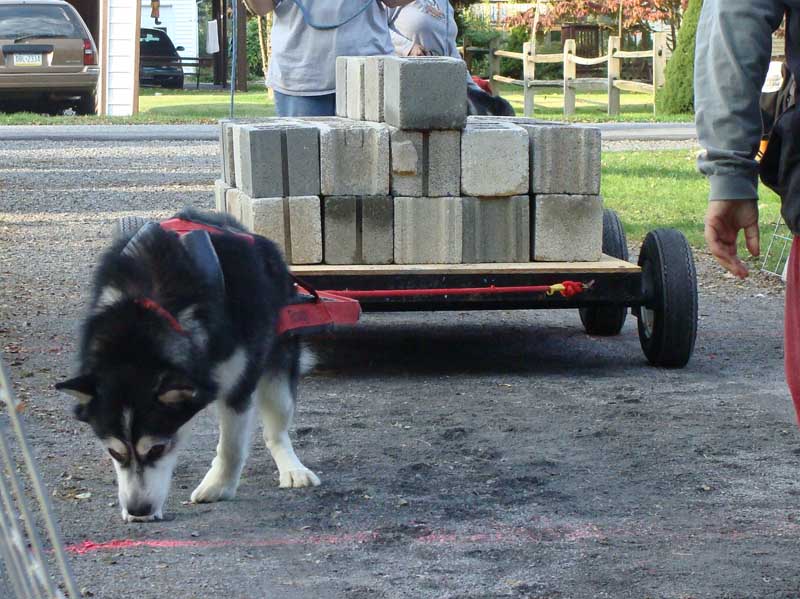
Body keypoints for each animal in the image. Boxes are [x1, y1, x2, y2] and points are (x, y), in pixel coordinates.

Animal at [54, 209, 318, 524]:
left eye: (157, 448)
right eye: (114, 453)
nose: (138, 509)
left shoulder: (238, 386)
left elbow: (231, 445)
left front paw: (219, 486)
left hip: (279, 368)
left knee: (276, 428)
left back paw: (293, 469)